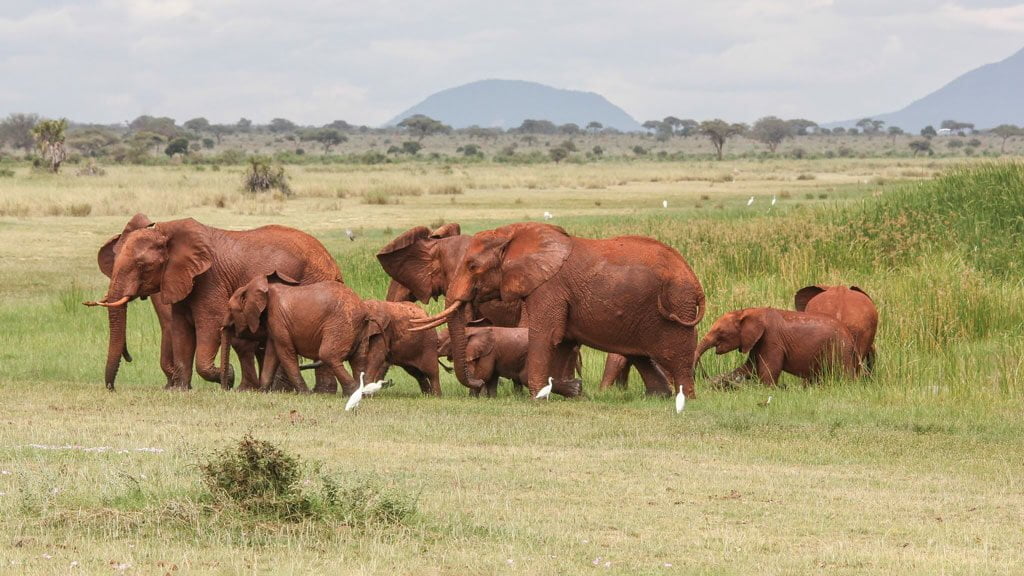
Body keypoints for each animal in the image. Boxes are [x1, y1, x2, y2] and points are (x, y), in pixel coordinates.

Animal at [84, 214, 339, 389]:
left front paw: (228, 376)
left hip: (313, 280)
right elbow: (180, 329)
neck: (168, 232)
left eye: (143, 266)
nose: (112, 388)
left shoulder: (209, 279)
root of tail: (332, 261)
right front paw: (180, 390)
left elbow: (209, 324)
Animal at [222, 274, 366, 391]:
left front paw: (306, 393)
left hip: (341, 322)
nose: (227, 388)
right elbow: (272, 353)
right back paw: (361, 393)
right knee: (358, 358)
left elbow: (285, 352)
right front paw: (262, 391)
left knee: (328, 355)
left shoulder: (278, 318)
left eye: (230, 308)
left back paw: (353, 391)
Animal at [407, 222, 704, 397]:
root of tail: (694, 278)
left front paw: (538, 396)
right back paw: (658, 397)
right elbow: (562, 342)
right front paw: (570, 390)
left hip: (677, 305)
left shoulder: (549, 287)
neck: (514, 234)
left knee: (675, 357)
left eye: (471, 266)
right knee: (641, 356)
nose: (478, 384)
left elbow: (546, 335)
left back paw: (684, 399)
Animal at [692, 305, 860, 385]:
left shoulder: (771, 339)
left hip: (840, 349)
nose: (702, 376)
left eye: (720, 332)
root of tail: (851, 337)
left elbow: (768, 371)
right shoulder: (757, 341)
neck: (750, 311)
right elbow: (749, 368)